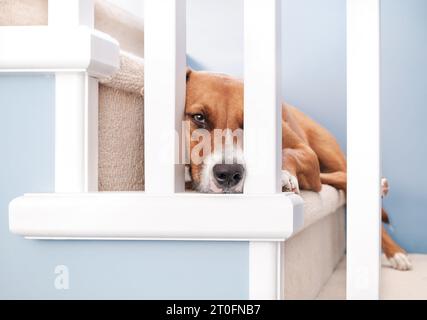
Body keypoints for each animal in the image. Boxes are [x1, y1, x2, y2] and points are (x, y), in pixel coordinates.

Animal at [186, 69, 412, 270]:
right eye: (198, 117)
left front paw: (283, 175)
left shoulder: (306, 153)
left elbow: (288, 153)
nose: (228, 173)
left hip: (327, 150)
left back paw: (395, 251)